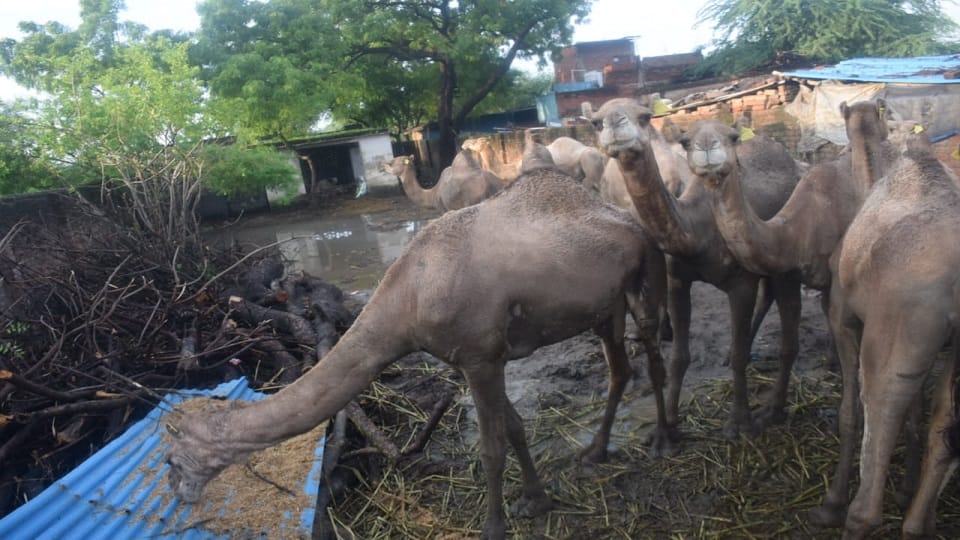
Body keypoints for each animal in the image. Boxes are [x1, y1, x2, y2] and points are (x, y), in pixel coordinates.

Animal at [165, 167, 671, 540]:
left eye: (172, 459)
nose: (179, 493)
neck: (407, 298)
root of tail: (632, 222)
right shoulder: (476, 359)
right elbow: (515, 427)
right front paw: (535, 500)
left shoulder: (481, 357)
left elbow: (491, 446)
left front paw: (493, 528)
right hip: (605, 306)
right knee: (619, 368)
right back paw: (596, 451)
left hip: (648, 270)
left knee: (654, 350)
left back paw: (665, 436)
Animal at [590, 98, 804, 453]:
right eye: (595, 121)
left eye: (644, 116)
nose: (616, 124)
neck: (697, 231)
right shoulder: (679, 281)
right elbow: (679, 357)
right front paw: (666, 432)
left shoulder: (741, 283)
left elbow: (740, 355)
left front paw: (739, 423)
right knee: (769, 296)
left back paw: (773, 408)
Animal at [824, 135, 960, 538]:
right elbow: (917, 416)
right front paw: (905, 490)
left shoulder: (842, 315)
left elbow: (848, 415)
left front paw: (831, 504)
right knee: (944, 421)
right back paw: (918, 523)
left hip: (888, 341)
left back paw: (852, 514)